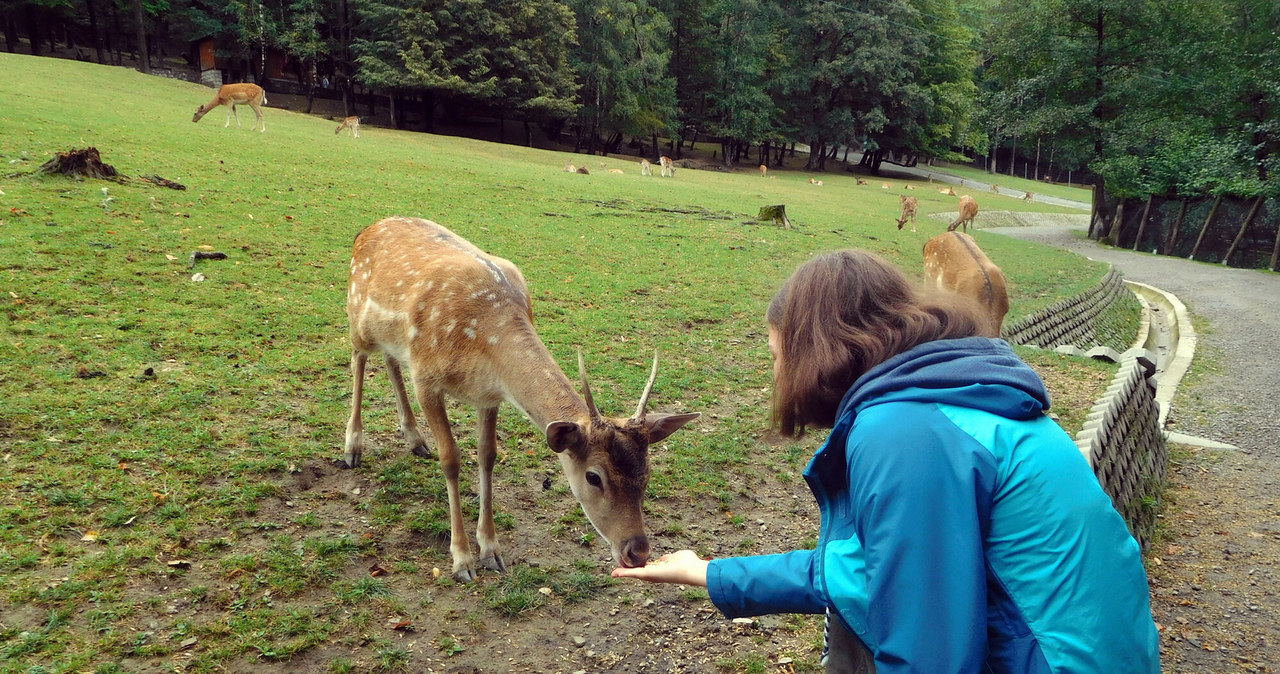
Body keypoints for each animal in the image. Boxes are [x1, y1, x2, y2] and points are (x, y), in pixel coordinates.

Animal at [340, 218, 701, 583]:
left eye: (648, 473)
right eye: (593, 477)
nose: (637, 552)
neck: (484, 345)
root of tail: (366, 229)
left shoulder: (488, 396)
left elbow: (487, 455)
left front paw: (491, 550)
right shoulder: (426, 378)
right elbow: (451, 459)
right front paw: (462, 560)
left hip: (391, 337)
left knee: (390, 360)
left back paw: (415, 439)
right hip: (358, 317)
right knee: (358, 358)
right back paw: (353, 447)